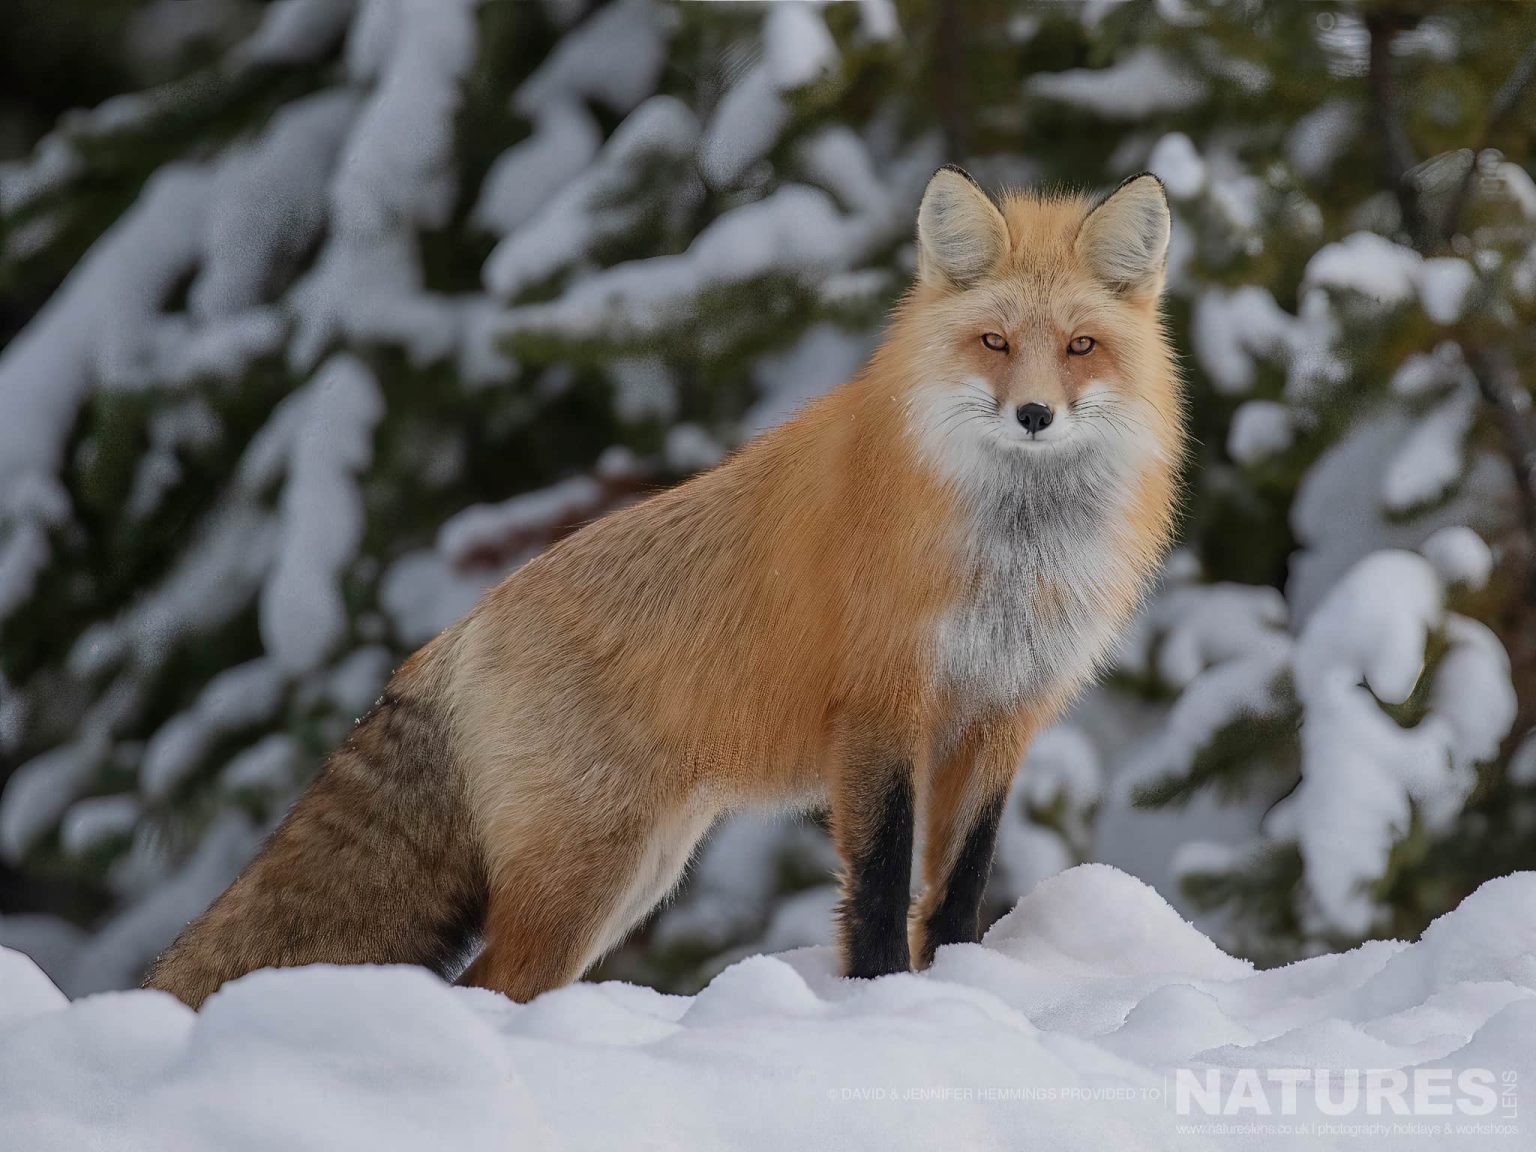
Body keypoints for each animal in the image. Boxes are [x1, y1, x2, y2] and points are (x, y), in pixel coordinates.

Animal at [145, 168, 1185, 1009]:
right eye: (995, 342)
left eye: (1082, 346)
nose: (1035, 414)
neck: (1012, 559)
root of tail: (458, 633)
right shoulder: (883, 709)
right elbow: (881, 888)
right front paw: (884, 1001)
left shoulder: (1002, 712)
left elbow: (959, 887)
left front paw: (963, 990)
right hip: (589, 878)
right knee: (489, 987)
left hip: (637, 874)